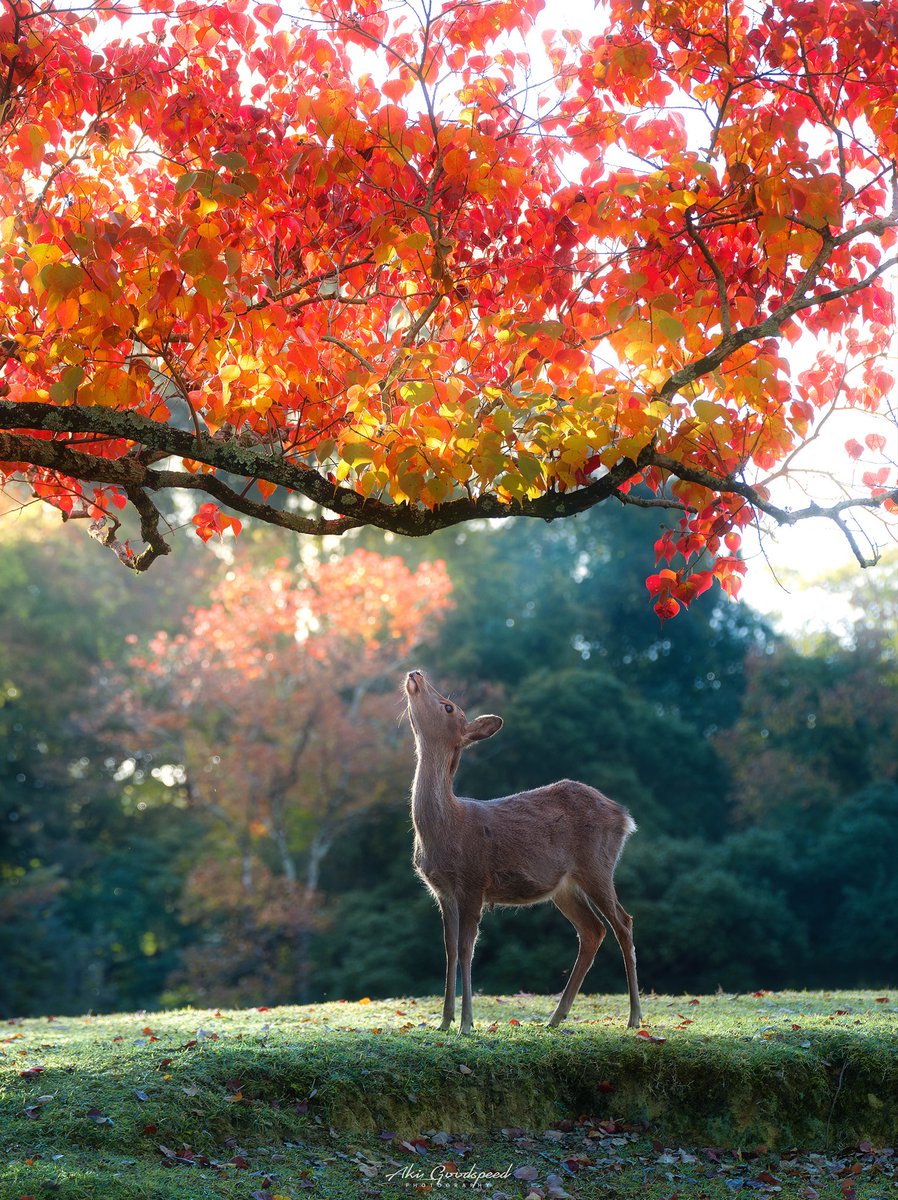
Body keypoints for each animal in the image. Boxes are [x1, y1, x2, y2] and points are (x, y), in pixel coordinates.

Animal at [405, 669, 642, 1034]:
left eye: (448, 706)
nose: (416, 673)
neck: (446, 829)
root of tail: (624, 817)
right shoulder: (442, 890)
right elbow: (448, 950)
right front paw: (443, 1022)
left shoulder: (473, 880)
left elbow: (466, 948)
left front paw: (466, 1023)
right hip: (565, 887)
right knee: (593, 930)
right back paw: (555, 1017)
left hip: (597, 864)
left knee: (623, 923)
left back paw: (633, 1017)